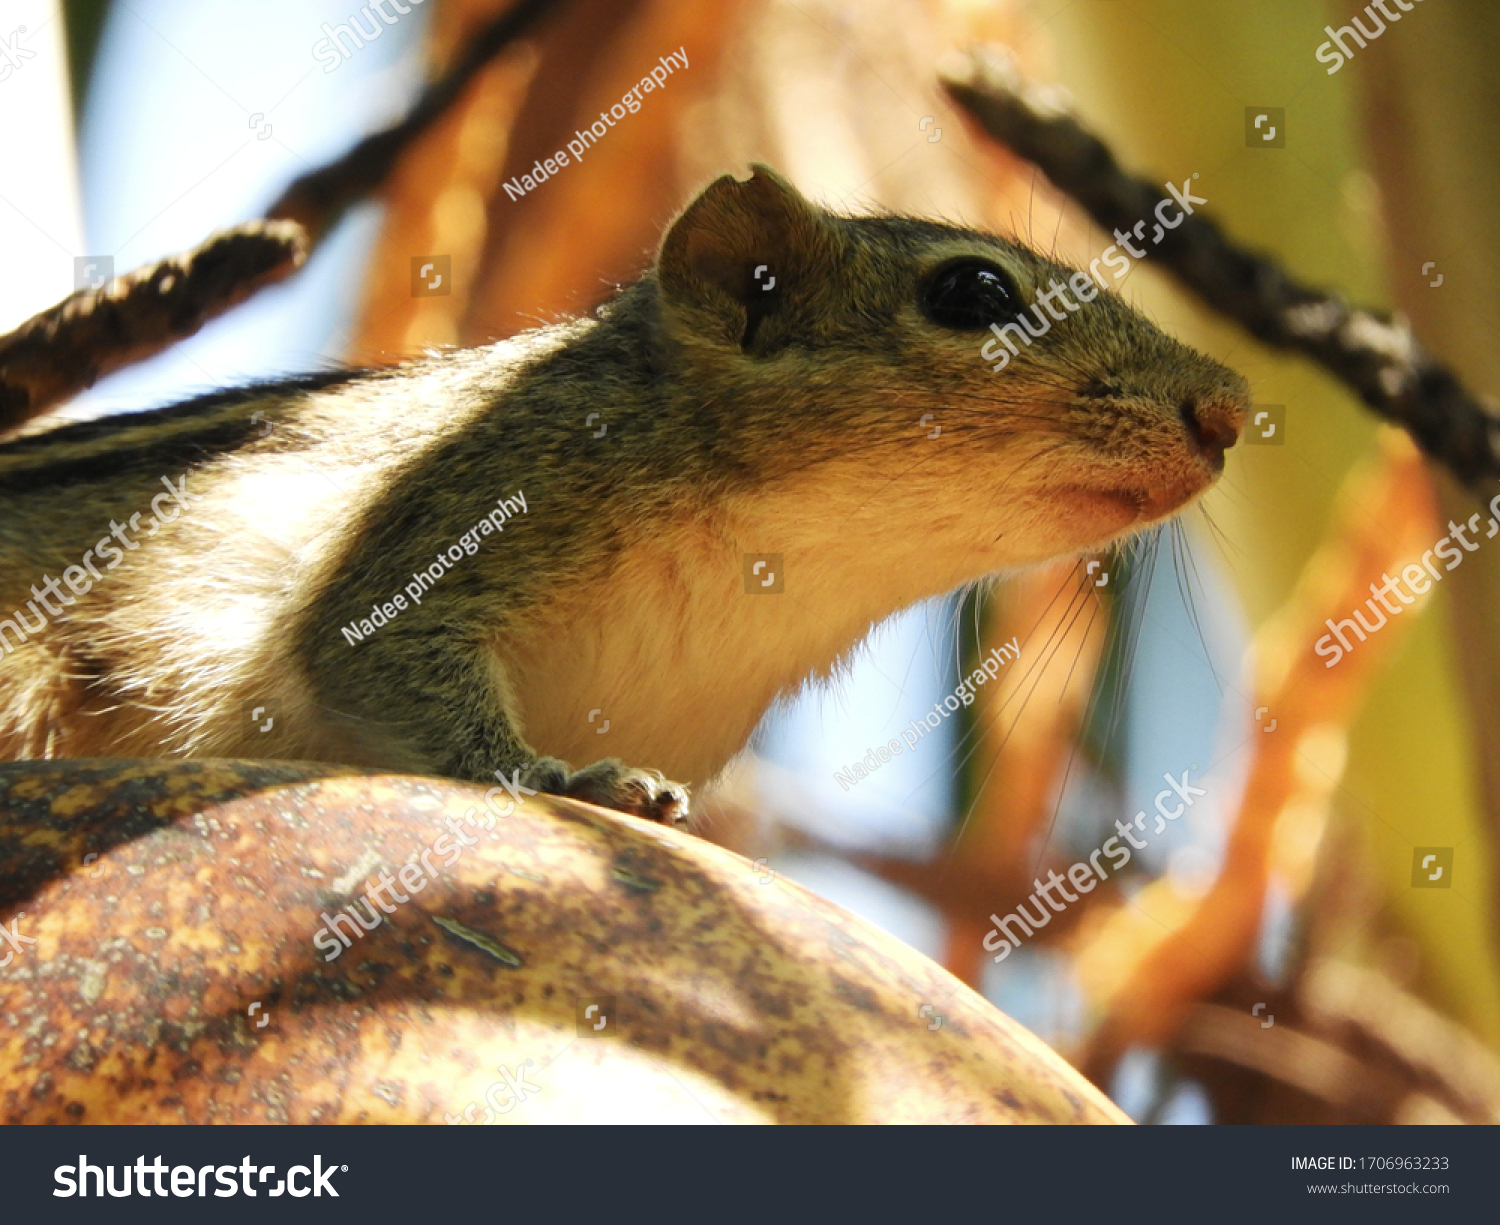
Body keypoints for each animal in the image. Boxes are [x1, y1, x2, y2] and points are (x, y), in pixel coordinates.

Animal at [0, 164, 1242, 821]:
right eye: (976, 294)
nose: (1228, 409)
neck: (783, 559)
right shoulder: (471, 502)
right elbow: (374, 655)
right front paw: (557, 775)